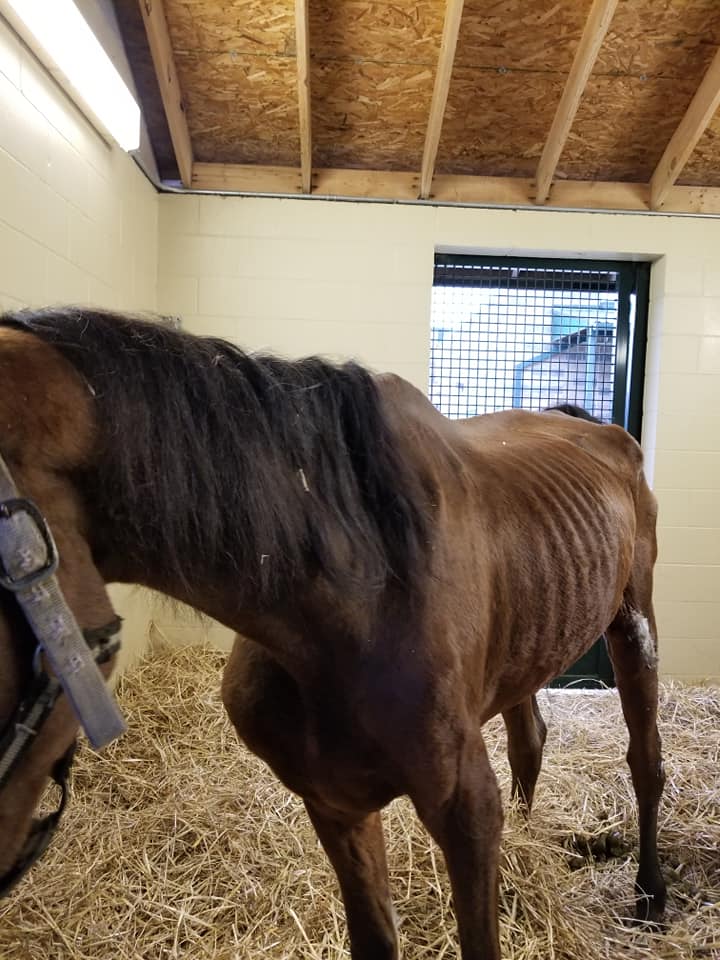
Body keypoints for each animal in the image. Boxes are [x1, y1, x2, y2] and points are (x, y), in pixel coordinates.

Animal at [0, 307, 665, 960]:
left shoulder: (466, 810)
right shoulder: (335, 804)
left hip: (633, 626)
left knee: (645, 762)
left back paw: (650, 895)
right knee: (530, 741)